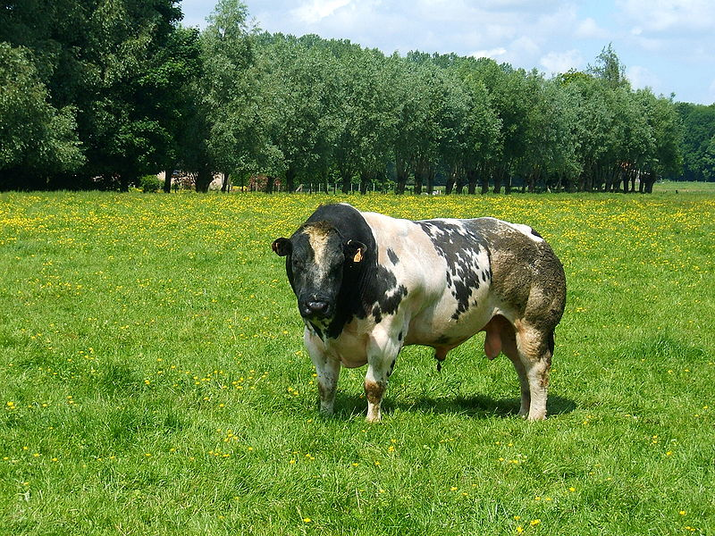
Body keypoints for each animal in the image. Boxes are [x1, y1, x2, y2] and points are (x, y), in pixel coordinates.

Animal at [272, 203, 568, 420]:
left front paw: (372, 420)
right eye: (296, 261)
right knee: (522, 370)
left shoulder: (386, 337)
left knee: (537, 370)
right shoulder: (315, 340)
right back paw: (522, 413)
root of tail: (533, 236)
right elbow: (326, 385)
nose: (316, 304)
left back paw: (535, 417)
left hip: (535, 326)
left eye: (339, 263)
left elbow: (373, 385)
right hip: (508, 329)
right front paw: (326, 415)